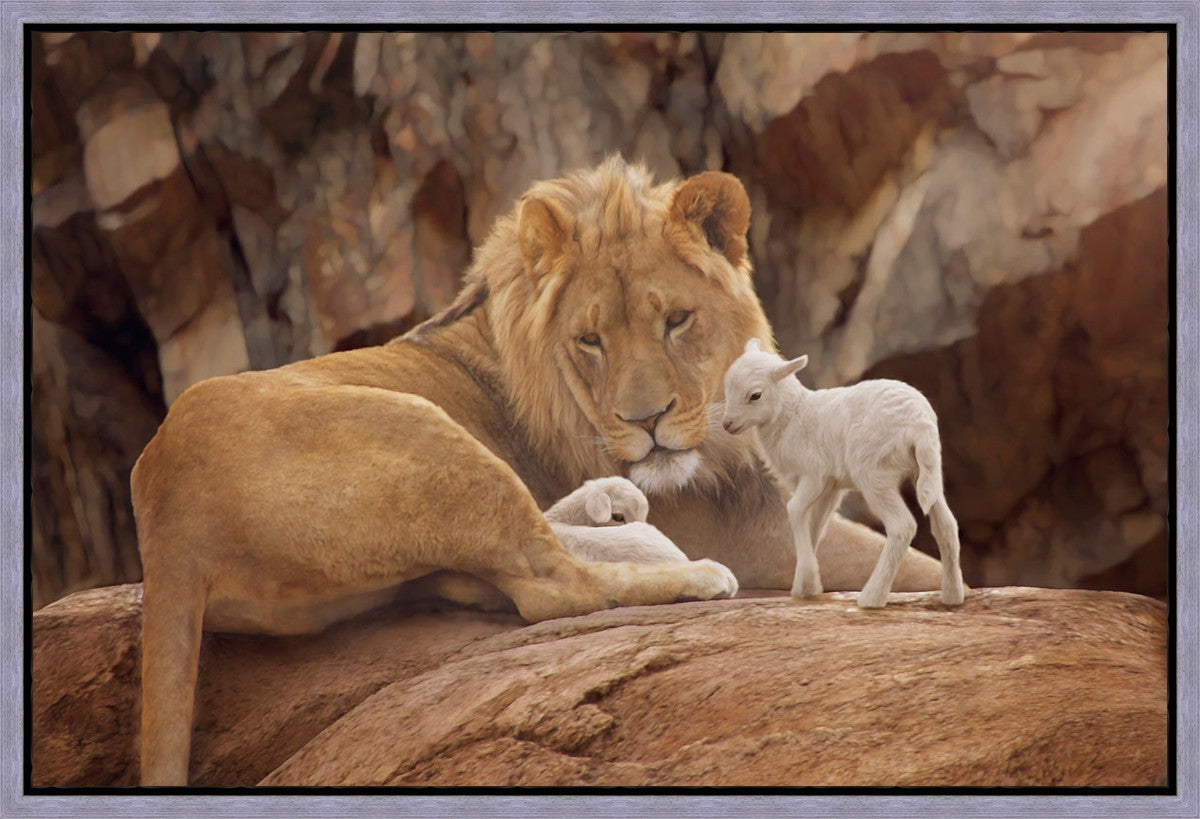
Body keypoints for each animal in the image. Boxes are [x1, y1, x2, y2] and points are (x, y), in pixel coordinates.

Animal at [721, 338, 965, 609]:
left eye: (755, 395)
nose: (727, 424)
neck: (793, 416)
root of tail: (919, 424)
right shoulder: (831, 486)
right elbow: (815, 525)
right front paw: (806, 586)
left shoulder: (814, 474)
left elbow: (794, 510)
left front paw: (808, 581)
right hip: (928, 470)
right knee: (946, 525)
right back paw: (952, 596)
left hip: (874, 473)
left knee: (902, 526)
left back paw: (872, 597)